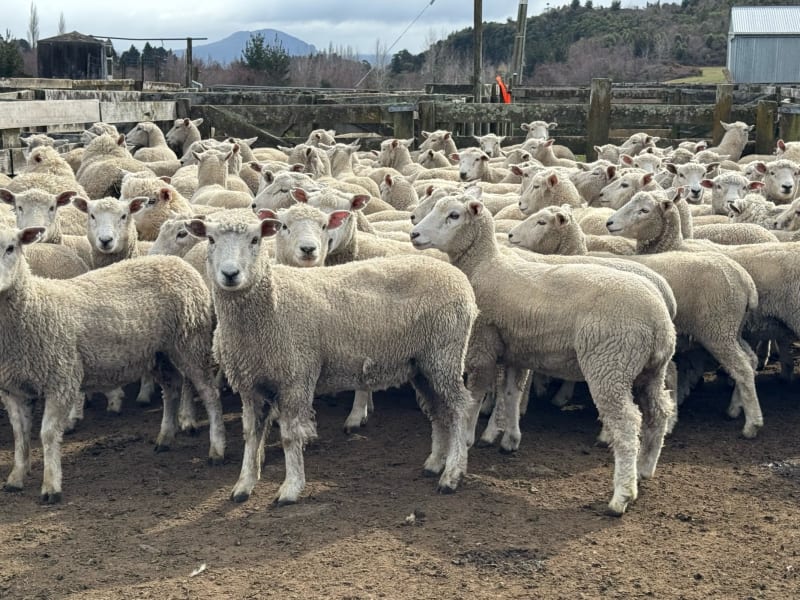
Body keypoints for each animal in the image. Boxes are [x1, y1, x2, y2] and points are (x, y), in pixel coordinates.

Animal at [0, 226, 225, 502]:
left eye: (11, 248)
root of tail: (176, 261)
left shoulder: (62, 379)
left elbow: (48, 433)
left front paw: (51, 486)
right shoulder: (12, 389)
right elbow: (19, 435)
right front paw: (16, 478)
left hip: (190, 341)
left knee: (209, 393)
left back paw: (216, 449)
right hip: (158, 352)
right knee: (171, 387)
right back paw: (165, 437)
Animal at [187, 211, 477, 504]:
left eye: (255, 239)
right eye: (211, 239)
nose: (230, 274)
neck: (271, 304)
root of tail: (458, 277)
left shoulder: (296, 377)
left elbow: (290, 436)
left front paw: (291, 487)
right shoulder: (250, 384)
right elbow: (251, 433)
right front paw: (244, 484)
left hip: (444, 354)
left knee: (459, 409)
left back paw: (452, 474)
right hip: (422, 364)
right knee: (439, 411)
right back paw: (435, 463)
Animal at [410, 193, 676, 516]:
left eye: (454, 215)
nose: (414, 234)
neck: (484, 265)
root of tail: (659, 317)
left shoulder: (483, 345)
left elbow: (475, 397)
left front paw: (468, 440)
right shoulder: (517, 350)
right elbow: (512, 393)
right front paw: (510, 439)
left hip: (610, 364)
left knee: (626, 424)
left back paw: (621, 496)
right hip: (650, 370)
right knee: (659, 411)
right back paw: (645, 469)